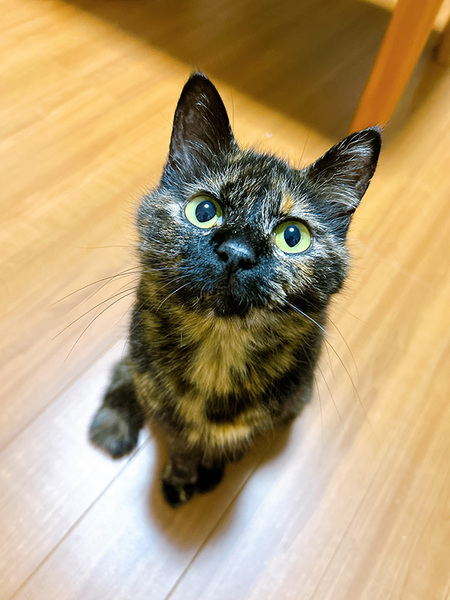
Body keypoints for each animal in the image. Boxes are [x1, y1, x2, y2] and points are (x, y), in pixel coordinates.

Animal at [89, 73, 381, 508]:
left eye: (292, 236)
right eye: (204, 211)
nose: (237, 252)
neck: (219, 352)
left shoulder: (266, 416)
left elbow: (229, 445)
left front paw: (210, 473)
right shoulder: (164, 409)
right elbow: (180, 445)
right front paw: (180, 480)